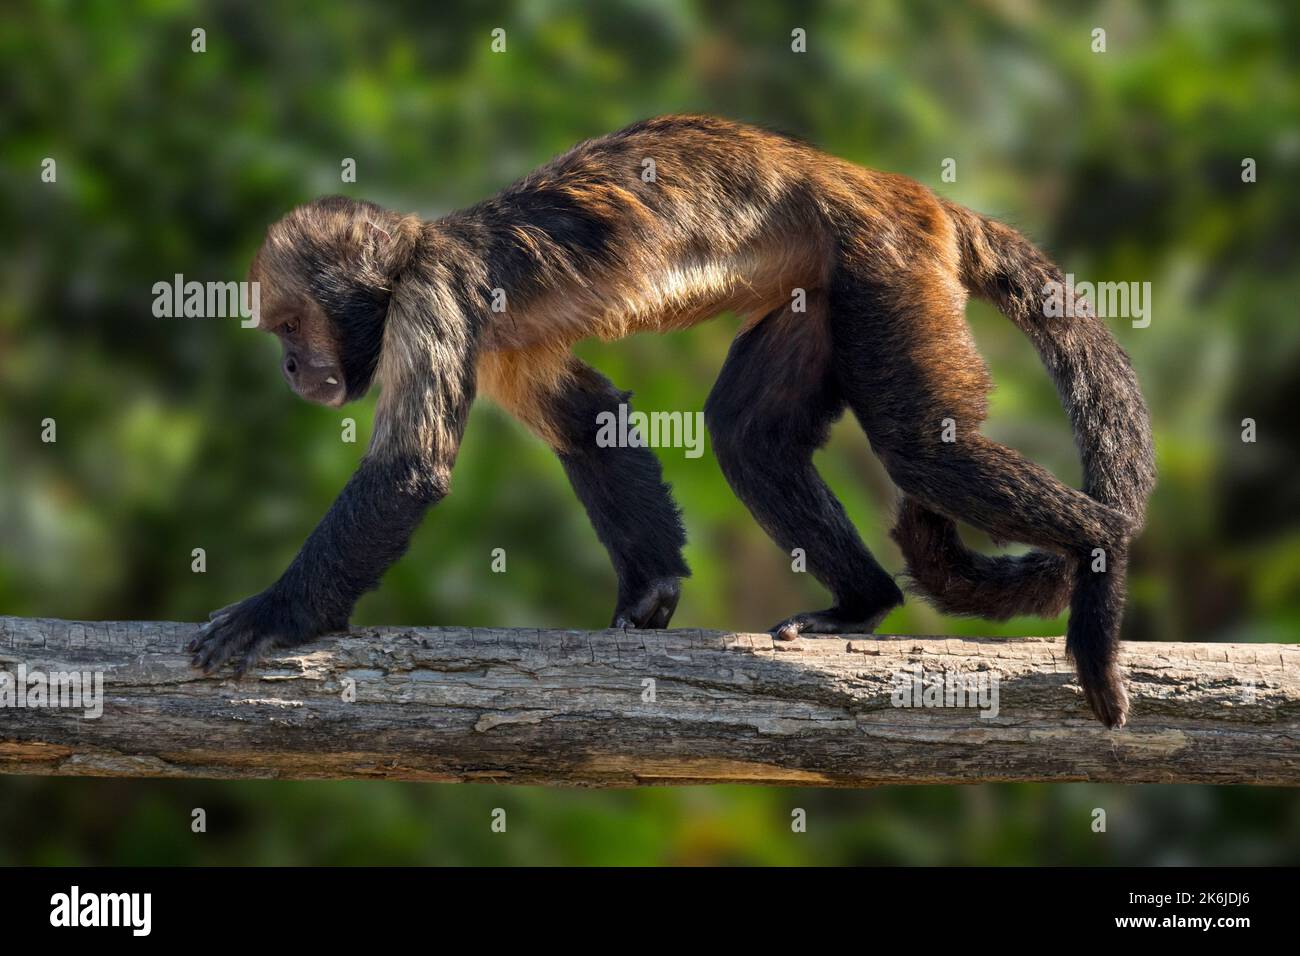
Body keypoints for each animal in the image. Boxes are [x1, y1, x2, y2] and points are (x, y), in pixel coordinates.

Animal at [189, 114, 1155, 728]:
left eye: (290, 327)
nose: (288, 368)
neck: (415, 255)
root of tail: (890, 185)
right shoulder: (489, 339)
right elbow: (591, 422)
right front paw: (650, 590)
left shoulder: (434, 298)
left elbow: (410, 470)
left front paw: (278, 612)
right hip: (828, 279)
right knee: (745, 434)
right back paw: (862, 603)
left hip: (887, 256)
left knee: (919, 448)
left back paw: (1100, 548)